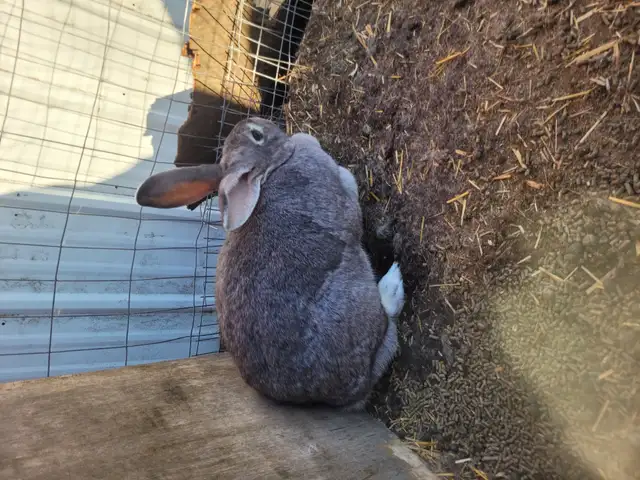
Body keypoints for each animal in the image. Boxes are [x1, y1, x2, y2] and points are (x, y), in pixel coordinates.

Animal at [135, 117, 405, 411]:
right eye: (257, 135)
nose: (261, 122)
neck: (271, 171)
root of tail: (340, 396)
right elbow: (348, 186)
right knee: (387, 323)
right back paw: (393, 284)